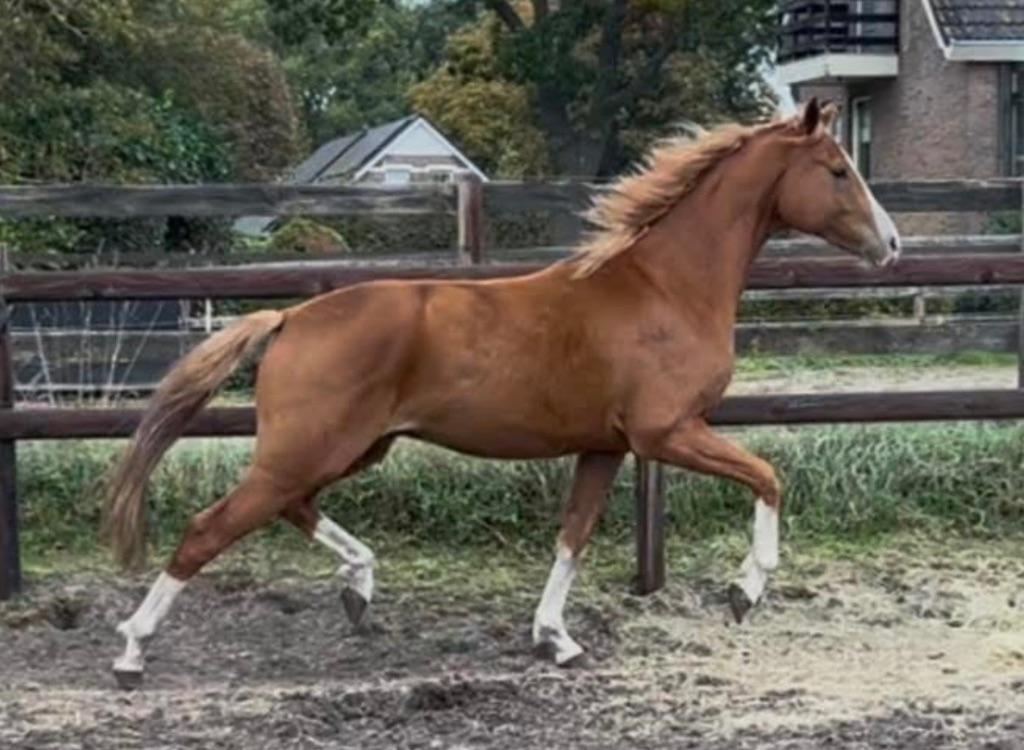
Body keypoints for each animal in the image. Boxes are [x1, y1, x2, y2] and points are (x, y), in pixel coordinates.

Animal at [104, 98, 900, 688]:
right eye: (837, 169)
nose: (891, 244)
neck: (664, 287)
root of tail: (292, 317)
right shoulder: (666, 432)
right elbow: (768, 476)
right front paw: (746, 590)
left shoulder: (606, 447)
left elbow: (573, 536)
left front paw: (555, 639)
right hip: (310, 449)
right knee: (209, 528)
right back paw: (132, 650)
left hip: (352, 449)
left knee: (292, 508)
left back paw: (359, 589)